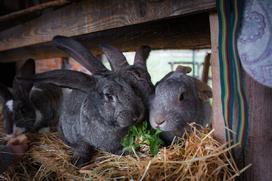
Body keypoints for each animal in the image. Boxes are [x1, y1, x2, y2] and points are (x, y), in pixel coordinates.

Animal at [27, 36, 146, 166]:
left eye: (130, 86)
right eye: (109, 96)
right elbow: (84, 147)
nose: (138, 115)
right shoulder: (81, 137)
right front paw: (77, 161)